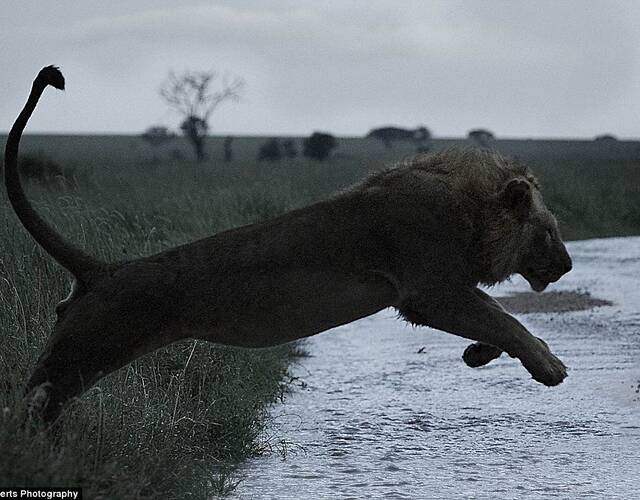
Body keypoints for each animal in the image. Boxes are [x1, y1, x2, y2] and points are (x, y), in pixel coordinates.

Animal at [3, 68, 576, 424]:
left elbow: (494, 318)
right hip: (89, 348)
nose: (568, 265)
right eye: (548, 232)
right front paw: (548, 365)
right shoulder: (428, 290)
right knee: (34, 398)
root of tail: (104, 271)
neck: (472, 208)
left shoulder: (442, 289)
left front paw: (480, 353)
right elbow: (504, 317)